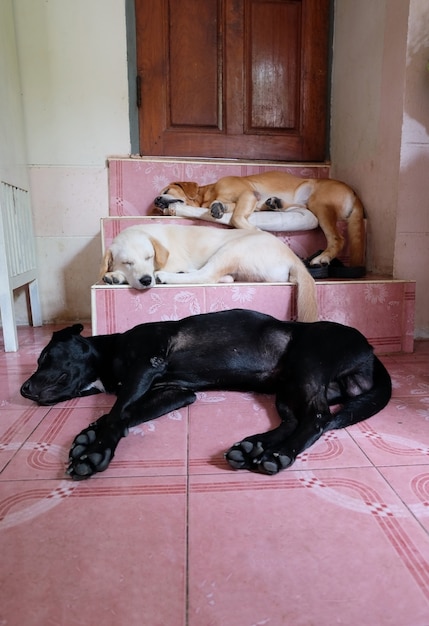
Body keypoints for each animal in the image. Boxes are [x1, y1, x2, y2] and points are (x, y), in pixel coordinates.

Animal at [20, 308, 390, 478]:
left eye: (44, 356)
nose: (23, 390)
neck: (111, 352)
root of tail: (371, 352)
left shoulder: (146, 364)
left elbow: (116, 414)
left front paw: (95, 452)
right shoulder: (174, 393)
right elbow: (123, 413)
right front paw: (89, 434)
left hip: (308, 362)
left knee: (316, 417)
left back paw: (277, 455)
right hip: (288, 388)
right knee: (293, 421)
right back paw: (254, 447)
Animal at [155, 171, 364, 266]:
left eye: (166, 190)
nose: (157, 201)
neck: (208, 194)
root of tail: (355, 194)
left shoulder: (247, 194)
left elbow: (237, 218)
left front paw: (259, 232)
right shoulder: (241, 200)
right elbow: (227, 208)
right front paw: (219, 207)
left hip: (319, 204)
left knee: (338, 238)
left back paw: (322, 257)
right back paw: (274, 203)